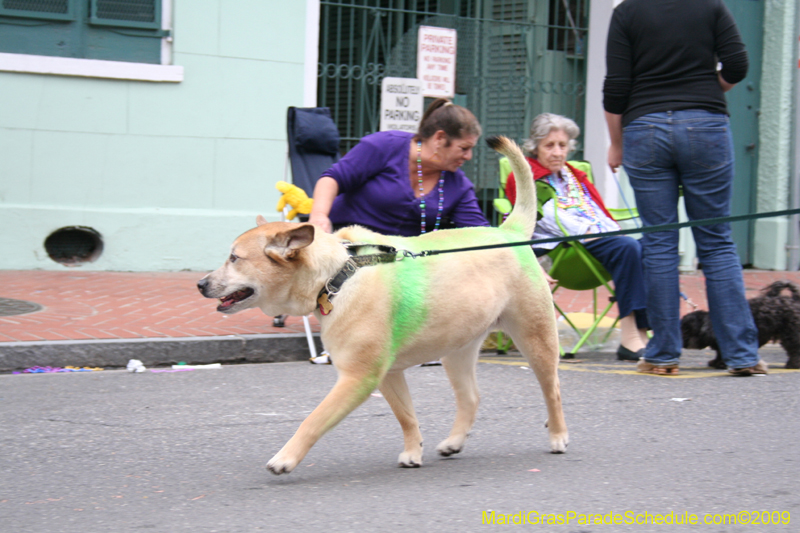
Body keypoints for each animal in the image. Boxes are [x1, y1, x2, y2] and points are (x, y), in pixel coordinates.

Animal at [197, 137, 564, 474]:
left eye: (234, 258)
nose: (200, 284)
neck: (336, 277)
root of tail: (508, 231)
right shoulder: (388, 375)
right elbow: (406, 416)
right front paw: (413, 451)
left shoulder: (358, 378)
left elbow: (313, 420)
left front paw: (285, 457)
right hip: (457, 350)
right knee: (471, 398)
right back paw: (454, 442)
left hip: (536, 339)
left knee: (552, 390)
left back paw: (558, 435)